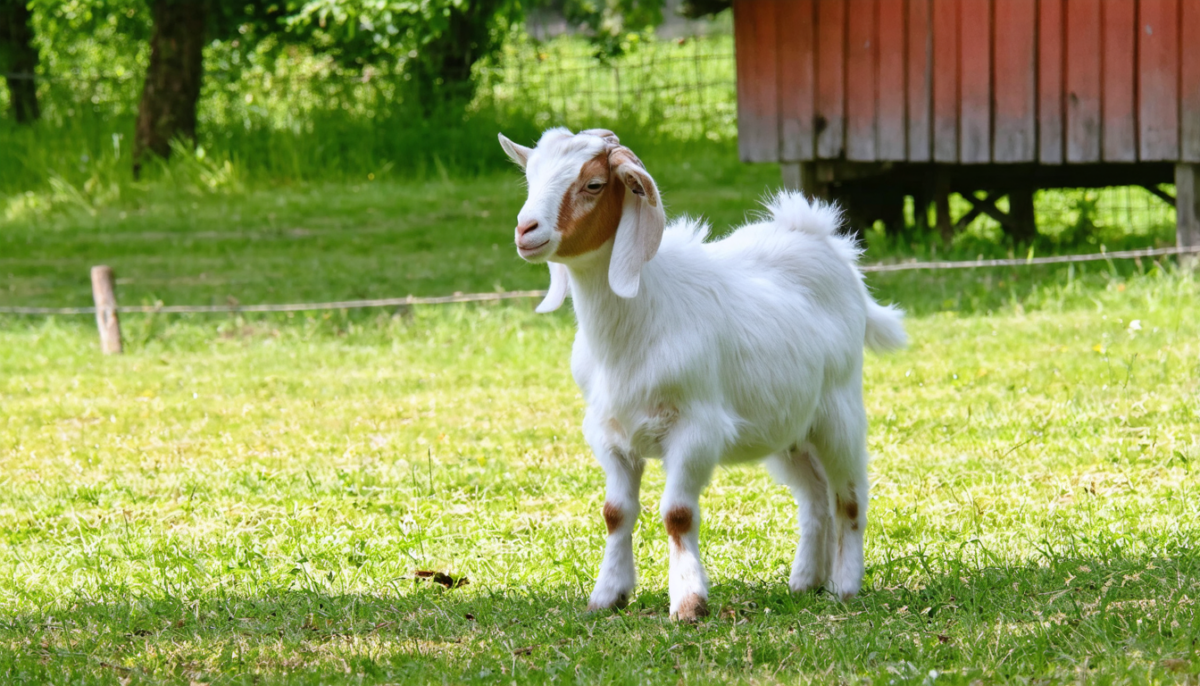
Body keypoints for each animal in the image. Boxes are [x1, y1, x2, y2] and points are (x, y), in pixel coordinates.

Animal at [497, 127, 906, 621]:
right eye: (530, 177)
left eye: (593, 184)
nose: (526, 231)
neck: (638, 319)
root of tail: (824, 240)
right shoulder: (609, 433)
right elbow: (615, 512)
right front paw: (607, 595)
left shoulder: (695, 430)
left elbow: (678, 514)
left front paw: (689, 602)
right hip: (788, 429)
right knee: (814, 498)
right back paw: (807, 581)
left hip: (838, 412)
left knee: (848, 496)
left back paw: (845, 586)